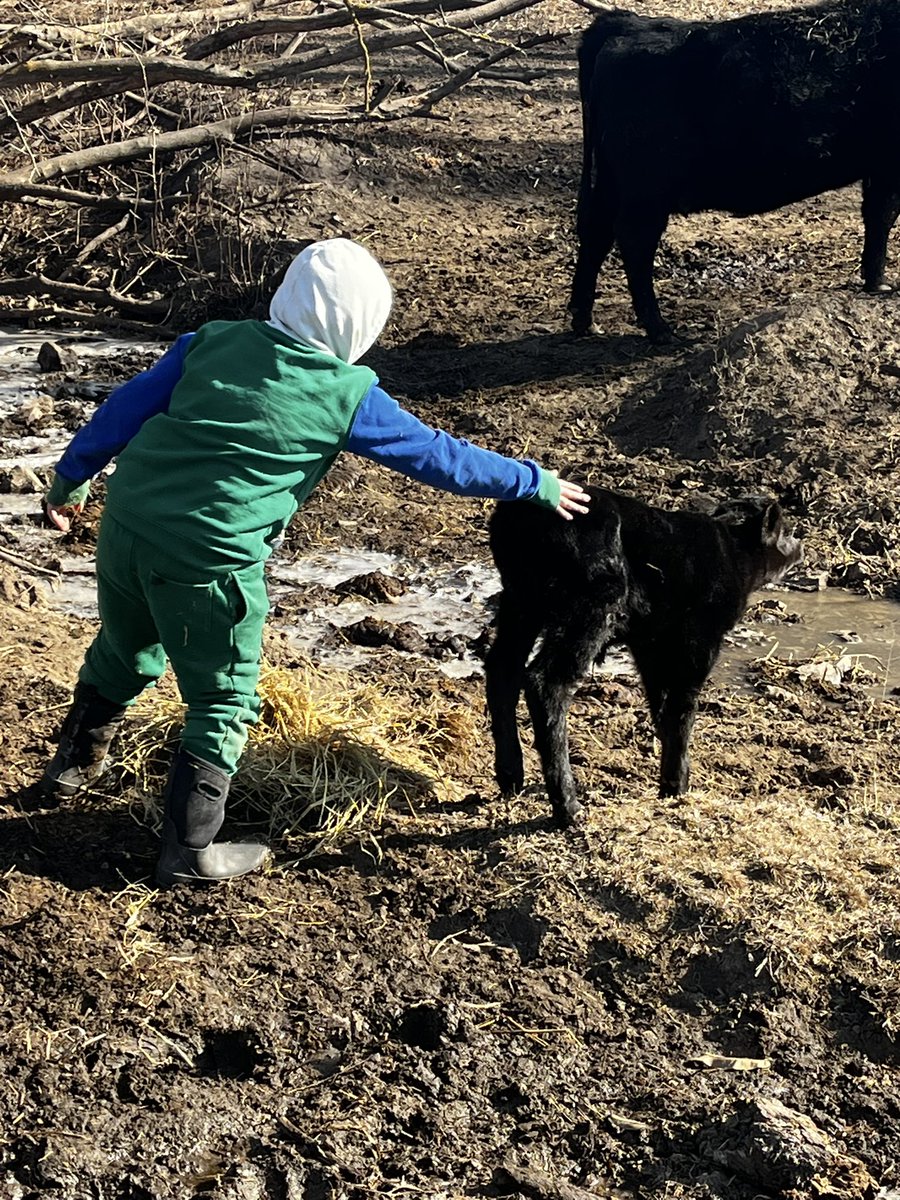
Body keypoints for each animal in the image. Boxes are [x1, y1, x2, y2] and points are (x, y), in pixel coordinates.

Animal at [485, 487, 802, 828]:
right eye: (786, 531)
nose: (800, 545)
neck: (734, 550)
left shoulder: (650, 640)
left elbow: (660, 703)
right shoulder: (700, 635)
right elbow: (682, 707)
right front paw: (678, 788)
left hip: (520, 602)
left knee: (502, 668)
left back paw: (511, 779)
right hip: (592, 604)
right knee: (546, 682)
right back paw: (569, 808)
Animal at [569, 0, 900, 343]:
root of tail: (627, 24)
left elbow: (877, 216)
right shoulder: (889, 163)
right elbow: (883, 215)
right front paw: (880, 284)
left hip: (609, 180)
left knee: (596, 231)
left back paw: (585, 321)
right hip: (647, 188)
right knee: (633, 240)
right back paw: (660, 329)